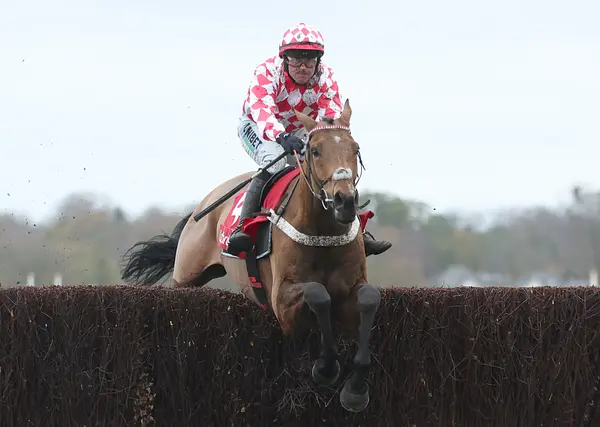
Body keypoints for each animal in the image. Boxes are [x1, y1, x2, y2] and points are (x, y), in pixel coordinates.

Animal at [120, 99, 382, 413]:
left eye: (355, 148)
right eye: (316, 150)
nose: (345, 202)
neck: (323, 232)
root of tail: (204, 205)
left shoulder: (352, 286)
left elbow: (369, 298)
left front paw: (355, 389)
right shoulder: (281, 303)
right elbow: (319, 294)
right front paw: (327, 368)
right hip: (185, 278)